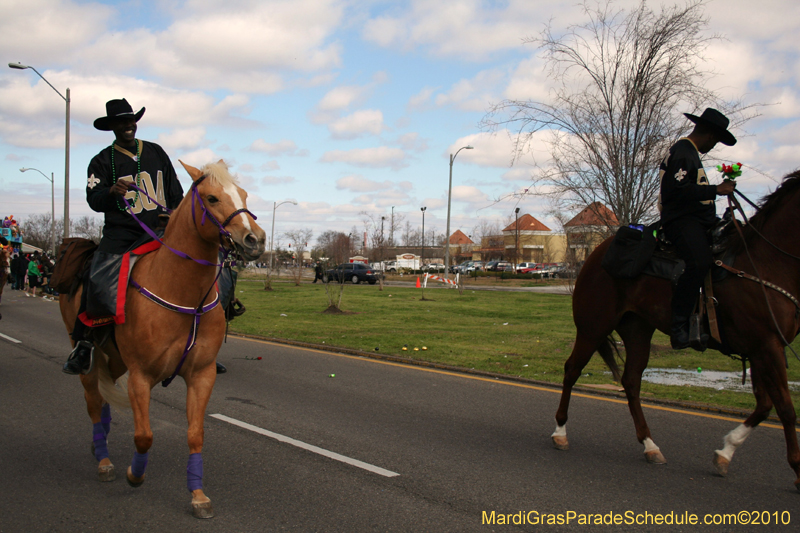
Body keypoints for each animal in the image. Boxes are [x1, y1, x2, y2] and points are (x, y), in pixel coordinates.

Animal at [60, 159, 266, 516]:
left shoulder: (201, 375)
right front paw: (135, 474)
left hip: (115, 358)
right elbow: (144, 435)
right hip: (88, 358)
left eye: (242, 194)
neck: (182, 291)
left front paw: (198, 495)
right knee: (94, 402)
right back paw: (104, 460)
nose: (255, 239)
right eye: (212, 198)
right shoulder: (141, 375)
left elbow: (195, 434)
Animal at [552, 170, 800, 490]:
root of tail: (594, 255)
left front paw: (725, 452)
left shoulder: (760, 349)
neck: (766, 263)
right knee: (572, 370)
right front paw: (797, 469)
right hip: (592, 327)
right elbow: (785, 408)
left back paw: (650, 445)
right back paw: (560, 432)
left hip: (637, 330)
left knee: (631, 381)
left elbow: (765, 405)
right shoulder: (768, 347)